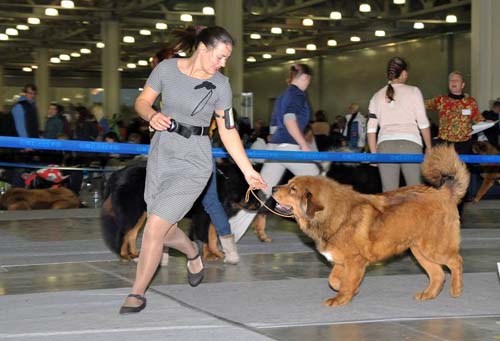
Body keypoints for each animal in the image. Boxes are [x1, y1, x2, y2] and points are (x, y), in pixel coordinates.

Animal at [272, 145, 466, 306]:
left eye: (293, 189)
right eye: (288, 183)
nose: (273, 188)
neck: (332, 214)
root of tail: (444, 192)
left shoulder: (354, 260)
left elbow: (347, 281)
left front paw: (340, 298)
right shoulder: (341, 261)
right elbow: (334, 280)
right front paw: (350, 290)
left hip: (434, 247)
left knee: (455, 261)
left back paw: (456, 289)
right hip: (419, 250)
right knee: (438, 274)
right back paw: (428, 294)